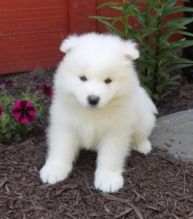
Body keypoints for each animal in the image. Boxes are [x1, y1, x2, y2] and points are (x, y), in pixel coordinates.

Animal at [40, 32, 158, 192]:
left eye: (108, 80)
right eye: (83, 78)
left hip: (143, 119)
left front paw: (108, 179)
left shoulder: (115, 132)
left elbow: (109, 157)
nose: (93, 99)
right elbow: (60, 149)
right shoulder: (65, 126)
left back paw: (143, 145)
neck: (92, 114)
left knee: (142, 133)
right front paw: (54, 170)